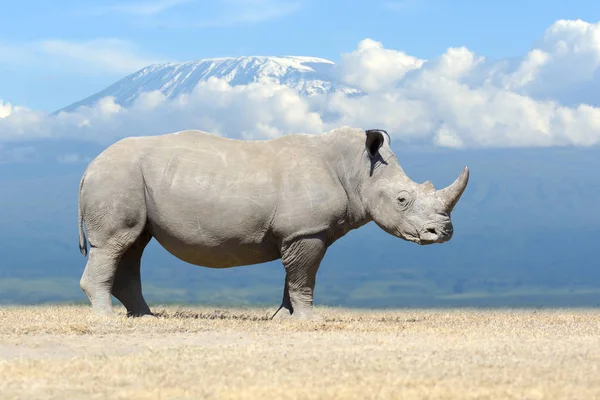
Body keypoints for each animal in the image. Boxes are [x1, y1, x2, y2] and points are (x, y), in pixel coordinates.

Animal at [77, 125, 468, 318]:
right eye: (402, 199)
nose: (444, 233)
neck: (358, 171)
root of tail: (87, 167)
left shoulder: (298, 233)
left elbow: (292, 277)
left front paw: (283, 318)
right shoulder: (308, 231)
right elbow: (304, 277)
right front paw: (310, 320)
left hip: (127, 179)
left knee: (133, 245)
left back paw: (145, 318)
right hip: (116, 176)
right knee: (115, 244)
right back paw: (107, 318)